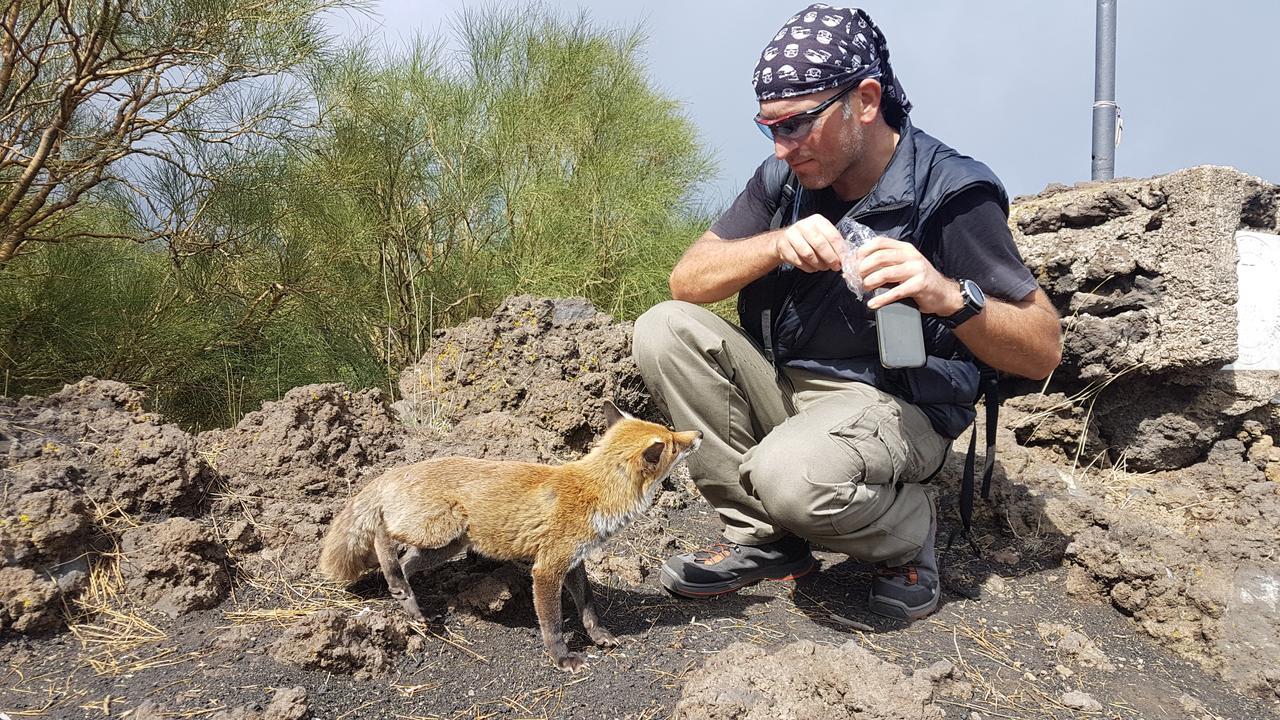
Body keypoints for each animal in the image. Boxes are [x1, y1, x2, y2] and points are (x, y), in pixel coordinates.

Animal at [320, 399, 701, 671]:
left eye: (671, 432)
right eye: (672, 442)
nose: (697, 433)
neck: (594, 492)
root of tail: (398, 469)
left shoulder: (572, 561)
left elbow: (589, 606)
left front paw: (599, 636)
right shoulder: (546, 570)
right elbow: (552, 623)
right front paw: (561, 658)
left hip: (445, 546)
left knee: (405, 563)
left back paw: (408, 602)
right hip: (435, 531)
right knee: (383, 536)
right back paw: (397, 581)